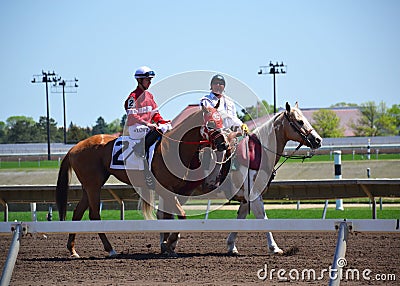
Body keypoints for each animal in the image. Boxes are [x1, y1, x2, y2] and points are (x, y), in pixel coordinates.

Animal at [55, 104, 228, 258]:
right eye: (211, 124)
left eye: (222, 122)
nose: (224, 144)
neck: (173, 149)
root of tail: (74, 148)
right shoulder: (164, 189)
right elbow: (181, 215)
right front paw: (168, 243)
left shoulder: (176, 191)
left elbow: (169, 216)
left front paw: (168, 245)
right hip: (93, 186)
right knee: (94, 214)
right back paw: (110, 249)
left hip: (89, 186)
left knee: (78, 213)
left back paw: (73, 249)